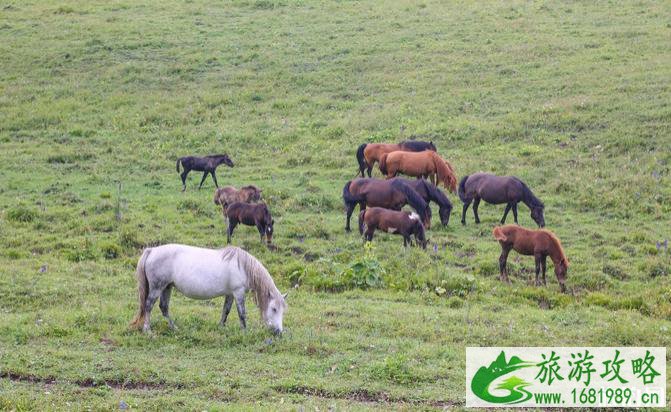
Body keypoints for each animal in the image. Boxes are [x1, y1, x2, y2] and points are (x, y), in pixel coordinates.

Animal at [130, 245, 288, 334]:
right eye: (274, 309)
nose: (278, 332)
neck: (242, 267)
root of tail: (152, 250)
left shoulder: (230, 294)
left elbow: (226, 311)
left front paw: (221, 327)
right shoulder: (238, 292)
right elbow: (242, 314)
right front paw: (245, 331)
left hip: (166, 287)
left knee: (163, 308)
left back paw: (174, 328)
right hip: (157, 287)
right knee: (148, 306)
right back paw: (147, 330)